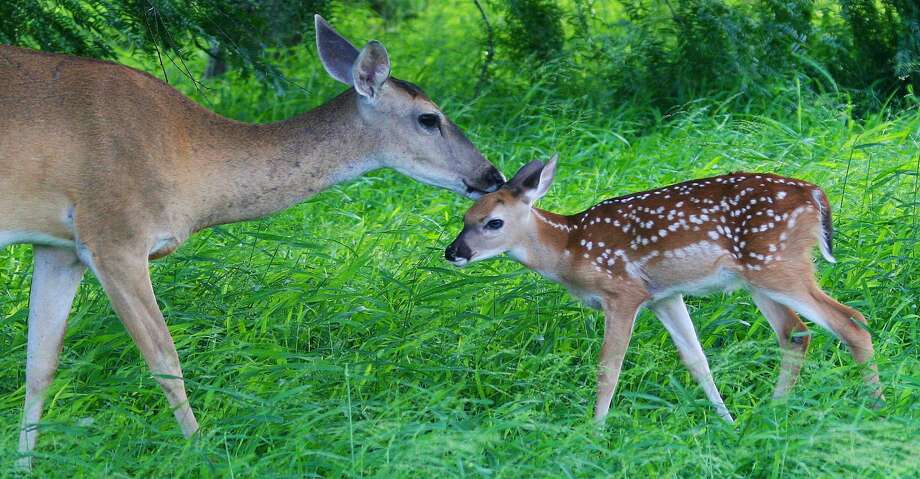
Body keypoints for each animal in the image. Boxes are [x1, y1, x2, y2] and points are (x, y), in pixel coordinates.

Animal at [1, 15, 504, 468]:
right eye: (429, 118)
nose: (492, 175)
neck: (186, 162)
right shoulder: (115, 234)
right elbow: (165, 357)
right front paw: (202, 452)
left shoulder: (60, 248)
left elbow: (40, 363)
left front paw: (24, 464)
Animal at [446, 158, 884, 424]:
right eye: (465, 217)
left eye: (494, 222)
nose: (453, 252)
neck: (570, 248)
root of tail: (817, 196)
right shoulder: (664, 296)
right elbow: (696, 360)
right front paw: (726, 421)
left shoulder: (622, 292)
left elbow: (609, 367)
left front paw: (595, 429)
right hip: (760, 276)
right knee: (796, 333)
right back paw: (772, 411)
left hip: (778, 264)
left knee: (851, 321)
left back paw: (877, 405)